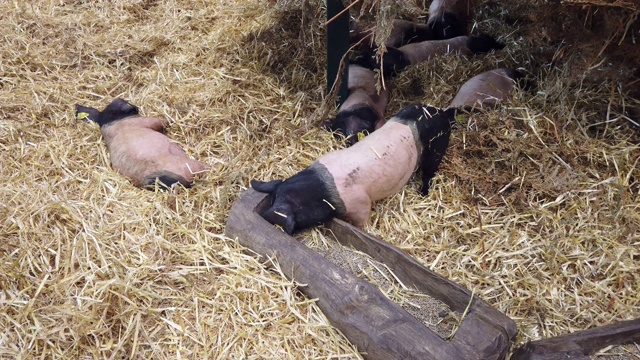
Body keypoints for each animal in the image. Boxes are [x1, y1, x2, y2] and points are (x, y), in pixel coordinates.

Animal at [252, 103, 452, 236]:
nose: (265, 215)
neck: (322, 190)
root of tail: (442, 113)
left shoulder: (360, 204)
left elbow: (362, 222)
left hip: (437, 148)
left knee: (429, 173)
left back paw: (423, 194)